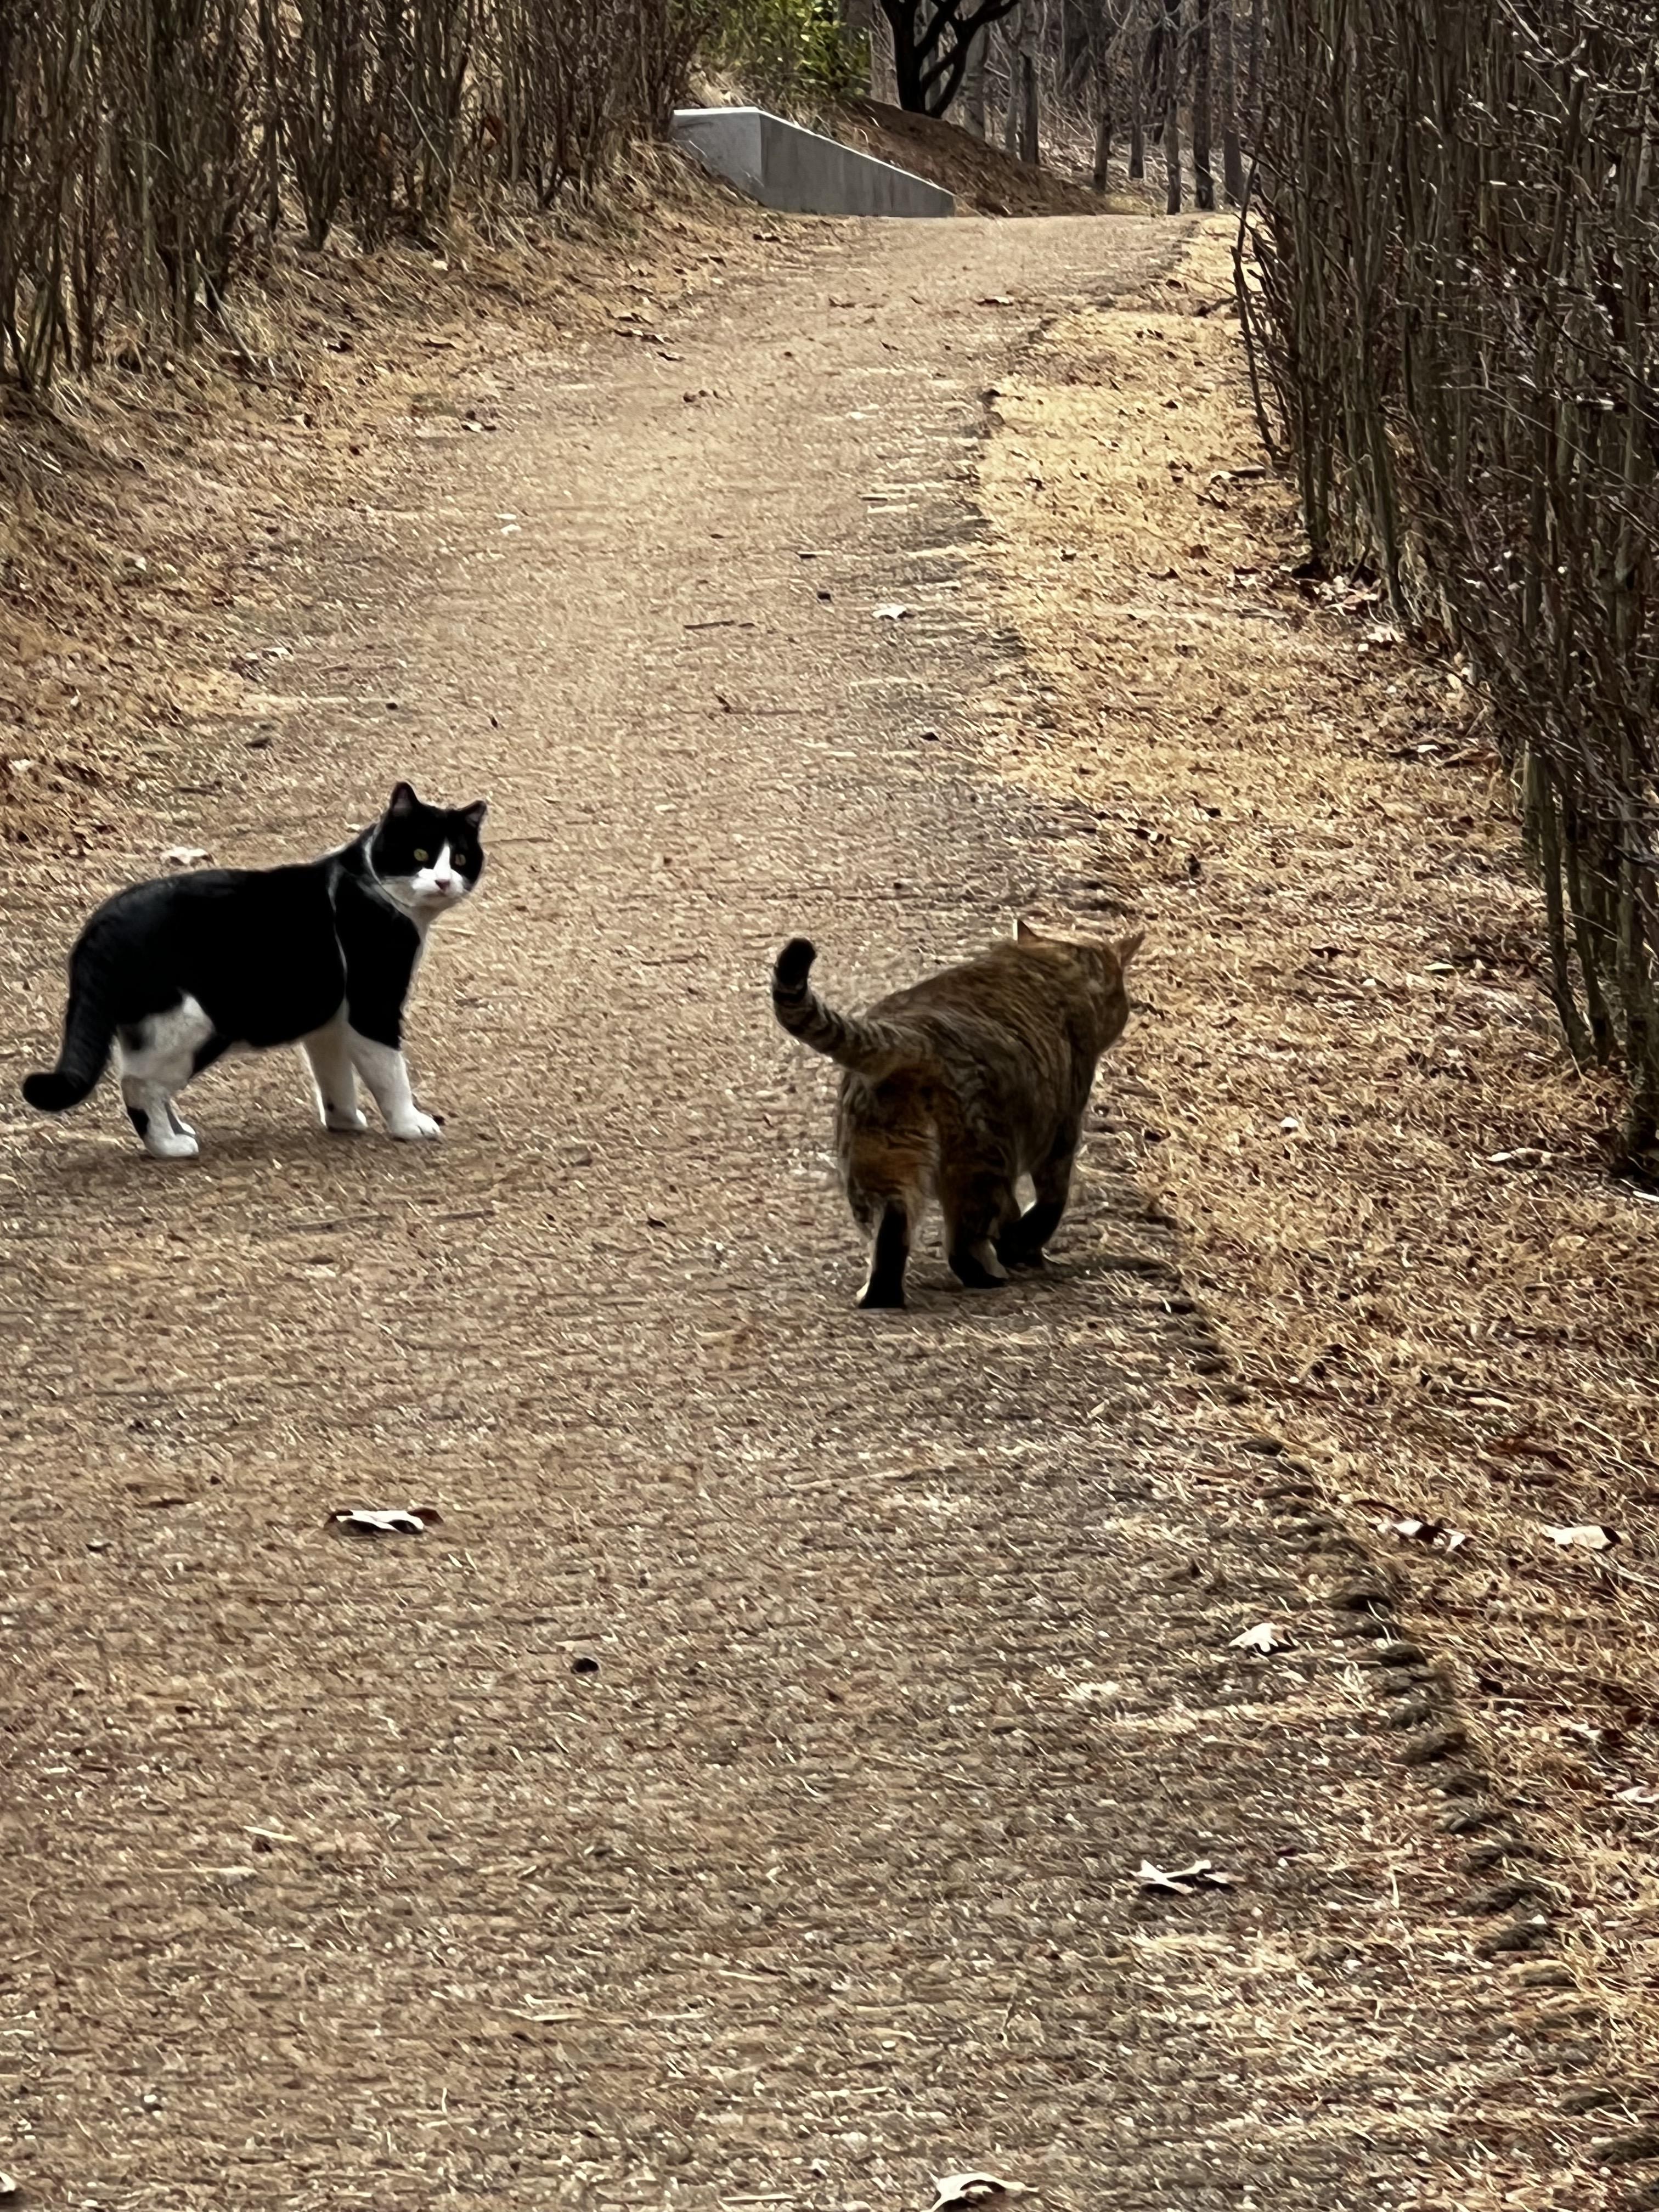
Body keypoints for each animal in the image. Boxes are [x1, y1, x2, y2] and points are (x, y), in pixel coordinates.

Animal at [22, 783, 484, 1159]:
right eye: (421, 855)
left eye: (461, 858)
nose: (444, 882)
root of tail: (98, 930)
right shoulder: (373, 1008)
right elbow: (391, 1074)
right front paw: (410, 1124)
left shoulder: (330, 1023)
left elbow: (335, 1078)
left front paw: (345, 1122)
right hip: (191, 1025)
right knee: (138, 1083)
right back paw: (169, 1147)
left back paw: (178, 1131)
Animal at [778, 920, 1141, 1300]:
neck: (1048, 961)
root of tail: (913, 1036)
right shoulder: (1061, 1133)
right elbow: (1048, 1205)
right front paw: (1021, 1248)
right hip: (980, 1160)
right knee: (963, 1242)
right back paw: (988, 1275)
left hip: (879, 1160)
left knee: (891, 1233)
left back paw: (882, 1296)